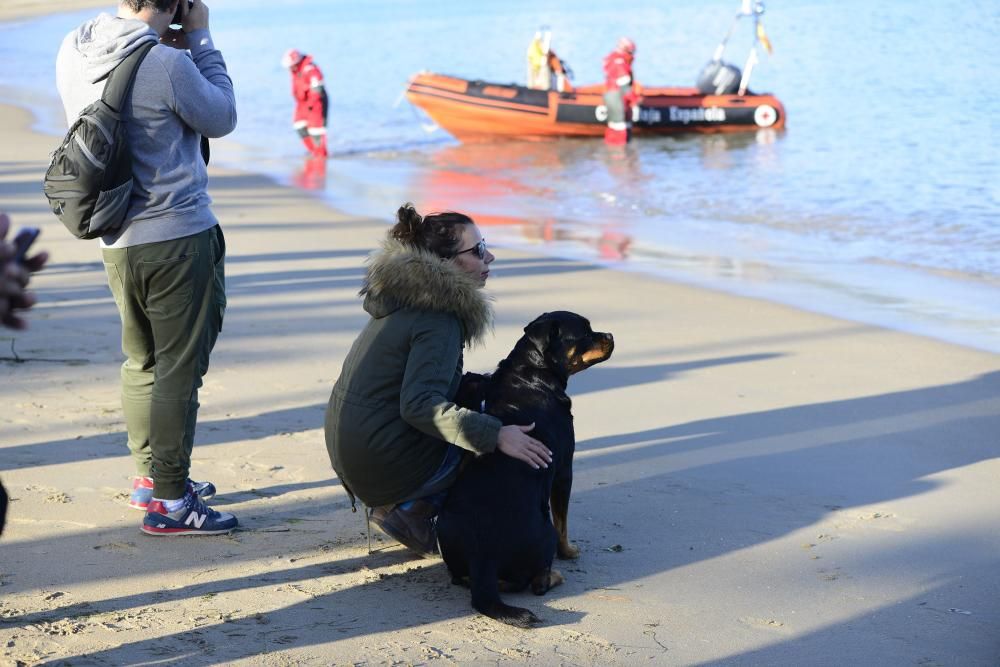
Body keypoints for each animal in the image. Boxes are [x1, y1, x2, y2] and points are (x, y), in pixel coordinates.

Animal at [440, 310, 612, 628]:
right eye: (585, 332)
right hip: (543, 532)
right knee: (536, 582)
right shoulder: (564, 471)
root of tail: (483, 556)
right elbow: (563, 522)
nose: (610, 336)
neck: (532, 374)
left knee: (463, 578)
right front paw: (569, 553)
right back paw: (554, 575)